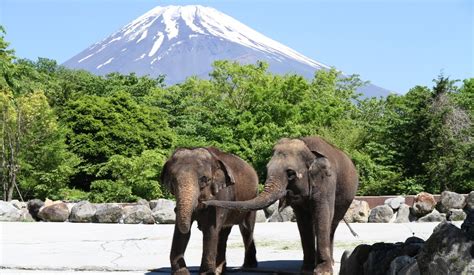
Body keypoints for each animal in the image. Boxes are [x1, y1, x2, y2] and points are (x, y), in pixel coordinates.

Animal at [205, 137, 360, 274]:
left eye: (290, 173)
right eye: (267, 168)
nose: (205, 202)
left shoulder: (326, 182)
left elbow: (322, 215)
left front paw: (322, 271)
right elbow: (303, 221)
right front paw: (306, 270)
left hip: (345, 199)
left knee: (332, 224)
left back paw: (331, 262)